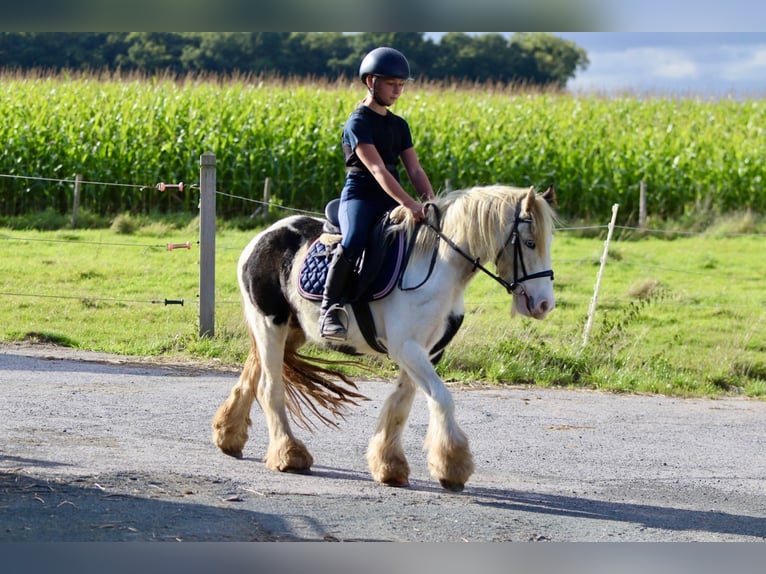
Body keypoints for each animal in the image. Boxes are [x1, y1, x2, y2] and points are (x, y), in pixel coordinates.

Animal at [212, 187, 560, 492]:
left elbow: (401, 405)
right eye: (529, 242)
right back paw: (288, 454)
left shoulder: (426, 352)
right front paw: (453, 466)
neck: (437, 269)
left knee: (252, 376)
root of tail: (261, 238)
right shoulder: (406, 347)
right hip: (270, 323)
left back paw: (228, 436)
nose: (545, 305)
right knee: (270, 387)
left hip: (290, 330)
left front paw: (389, 465)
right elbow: (442, 398)